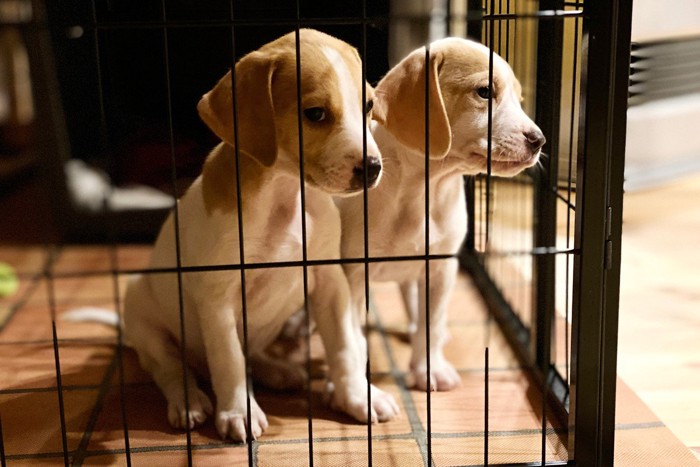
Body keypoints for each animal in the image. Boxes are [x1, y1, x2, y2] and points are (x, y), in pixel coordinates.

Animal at [121, 29, 400, 442]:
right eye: (315, 113)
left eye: (367, 105)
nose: (373, 168)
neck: (284, 196)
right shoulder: (217, 297)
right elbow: (229, 360)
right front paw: (239, 412)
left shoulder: (330, 281)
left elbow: (345, 348)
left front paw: (357, 396)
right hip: (145, 319)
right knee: (171, 368)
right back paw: (189, 401)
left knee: (250, 353)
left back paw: (277, 370)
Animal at [336, 38, 544, 394]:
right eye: (485, 92)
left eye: (519, 100)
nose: (539, 140)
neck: (424, 189)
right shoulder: (352, 273)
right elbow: (351, 331)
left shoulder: (441, 266)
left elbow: (431, 322)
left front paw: (428, 369)